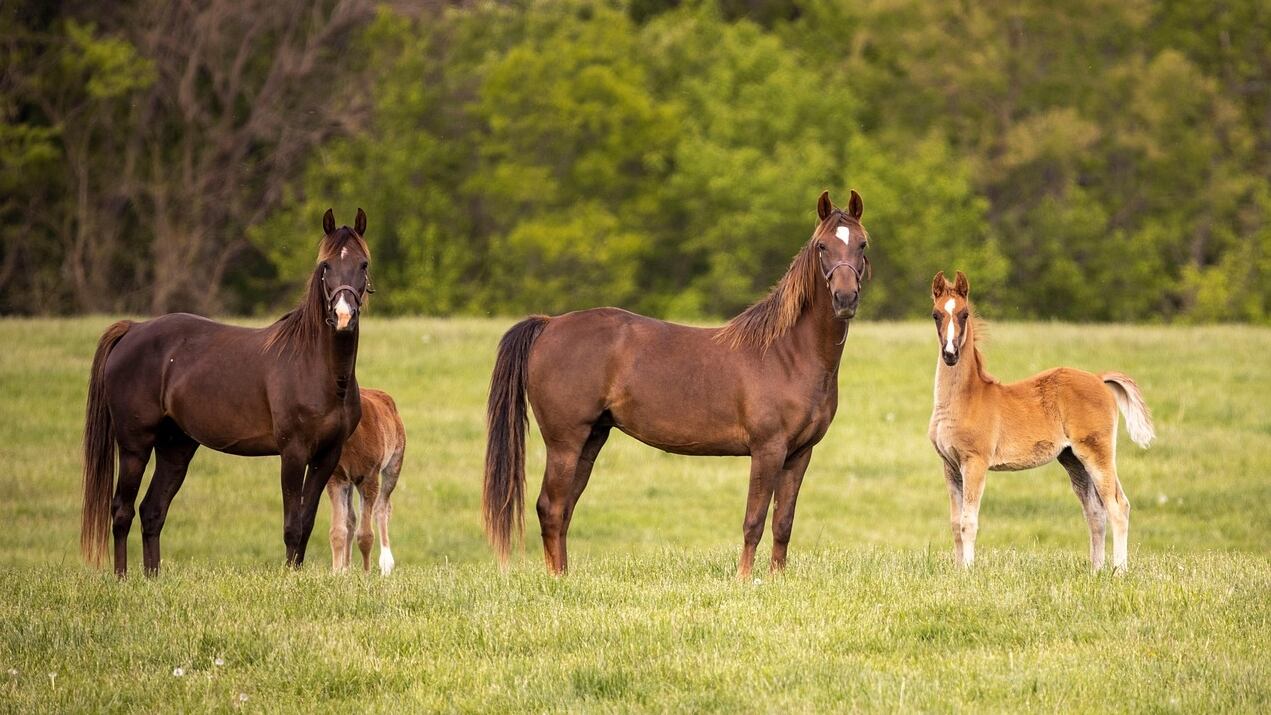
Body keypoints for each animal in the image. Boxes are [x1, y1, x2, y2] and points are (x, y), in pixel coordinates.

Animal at [81, 209, 373, 576]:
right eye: (326, 266)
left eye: (363, 264)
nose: (344, 316)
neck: (315, 367)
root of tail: (133, 329)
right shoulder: (293, 452)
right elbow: (292, 525)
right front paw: (290, 578)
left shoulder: (327, 455)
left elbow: (305, 524)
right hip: (135, 445)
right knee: (122, 510)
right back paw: (122, 578)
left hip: (175, 448)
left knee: (152, 511)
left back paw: (152, 578)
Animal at [326, 387, 405, 575]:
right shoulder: (336, 478)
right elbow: (338, 530)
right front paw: (336, 573)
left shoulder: (369, 477)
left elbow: (366, 535)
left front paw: (367, 574)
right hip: (349, 481)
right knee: (351, 519)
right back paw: (346, 568)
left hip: (394, 464)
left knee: (382, 508)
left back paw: (386, 565)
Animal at [483, 190, 872, 577]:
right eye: (822, 246)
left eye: (862, 244)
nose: (845, 299)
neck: (786, 353)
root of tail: (548, 325)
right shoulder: (768, 449)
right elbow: (754, 521)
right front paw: (745, 579)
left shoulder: (799, 453)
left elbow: (783, 523)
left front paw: (776, 578)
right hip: (565, 441)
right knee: (550, 507)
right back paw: (558, 581)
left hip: (591, 439)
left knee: (564, 509)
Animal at [927, 271, 1155, 572]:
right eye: (936, 315)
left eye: (964, 314)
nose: (950, 354)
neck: (965, 399)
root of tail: (1098, 378)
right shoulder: (950, 465)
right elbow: (954, 523)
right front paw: (957, 571)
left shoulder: (975, 462)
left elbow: (968, 522)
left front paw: (968, 572)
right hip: (1072, 459)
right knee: (1095, 512)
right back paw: (1096, 571)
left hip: (1097, 452)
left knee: (1118, 506)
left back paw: (1118, 572)